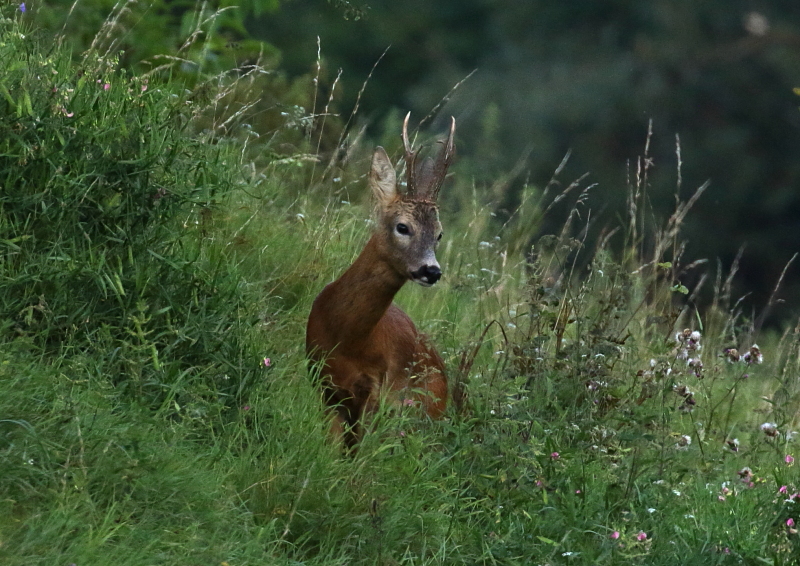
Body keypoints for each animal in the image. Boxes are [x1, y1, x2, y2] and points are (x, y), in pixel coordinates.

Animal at [306, 112, 456, 448]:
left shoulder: (375, 389)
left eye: (439, 234)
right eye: (403, 227)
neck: (345, 337)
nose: (432, 271)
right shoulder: (322, 381)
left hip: (422, 411)